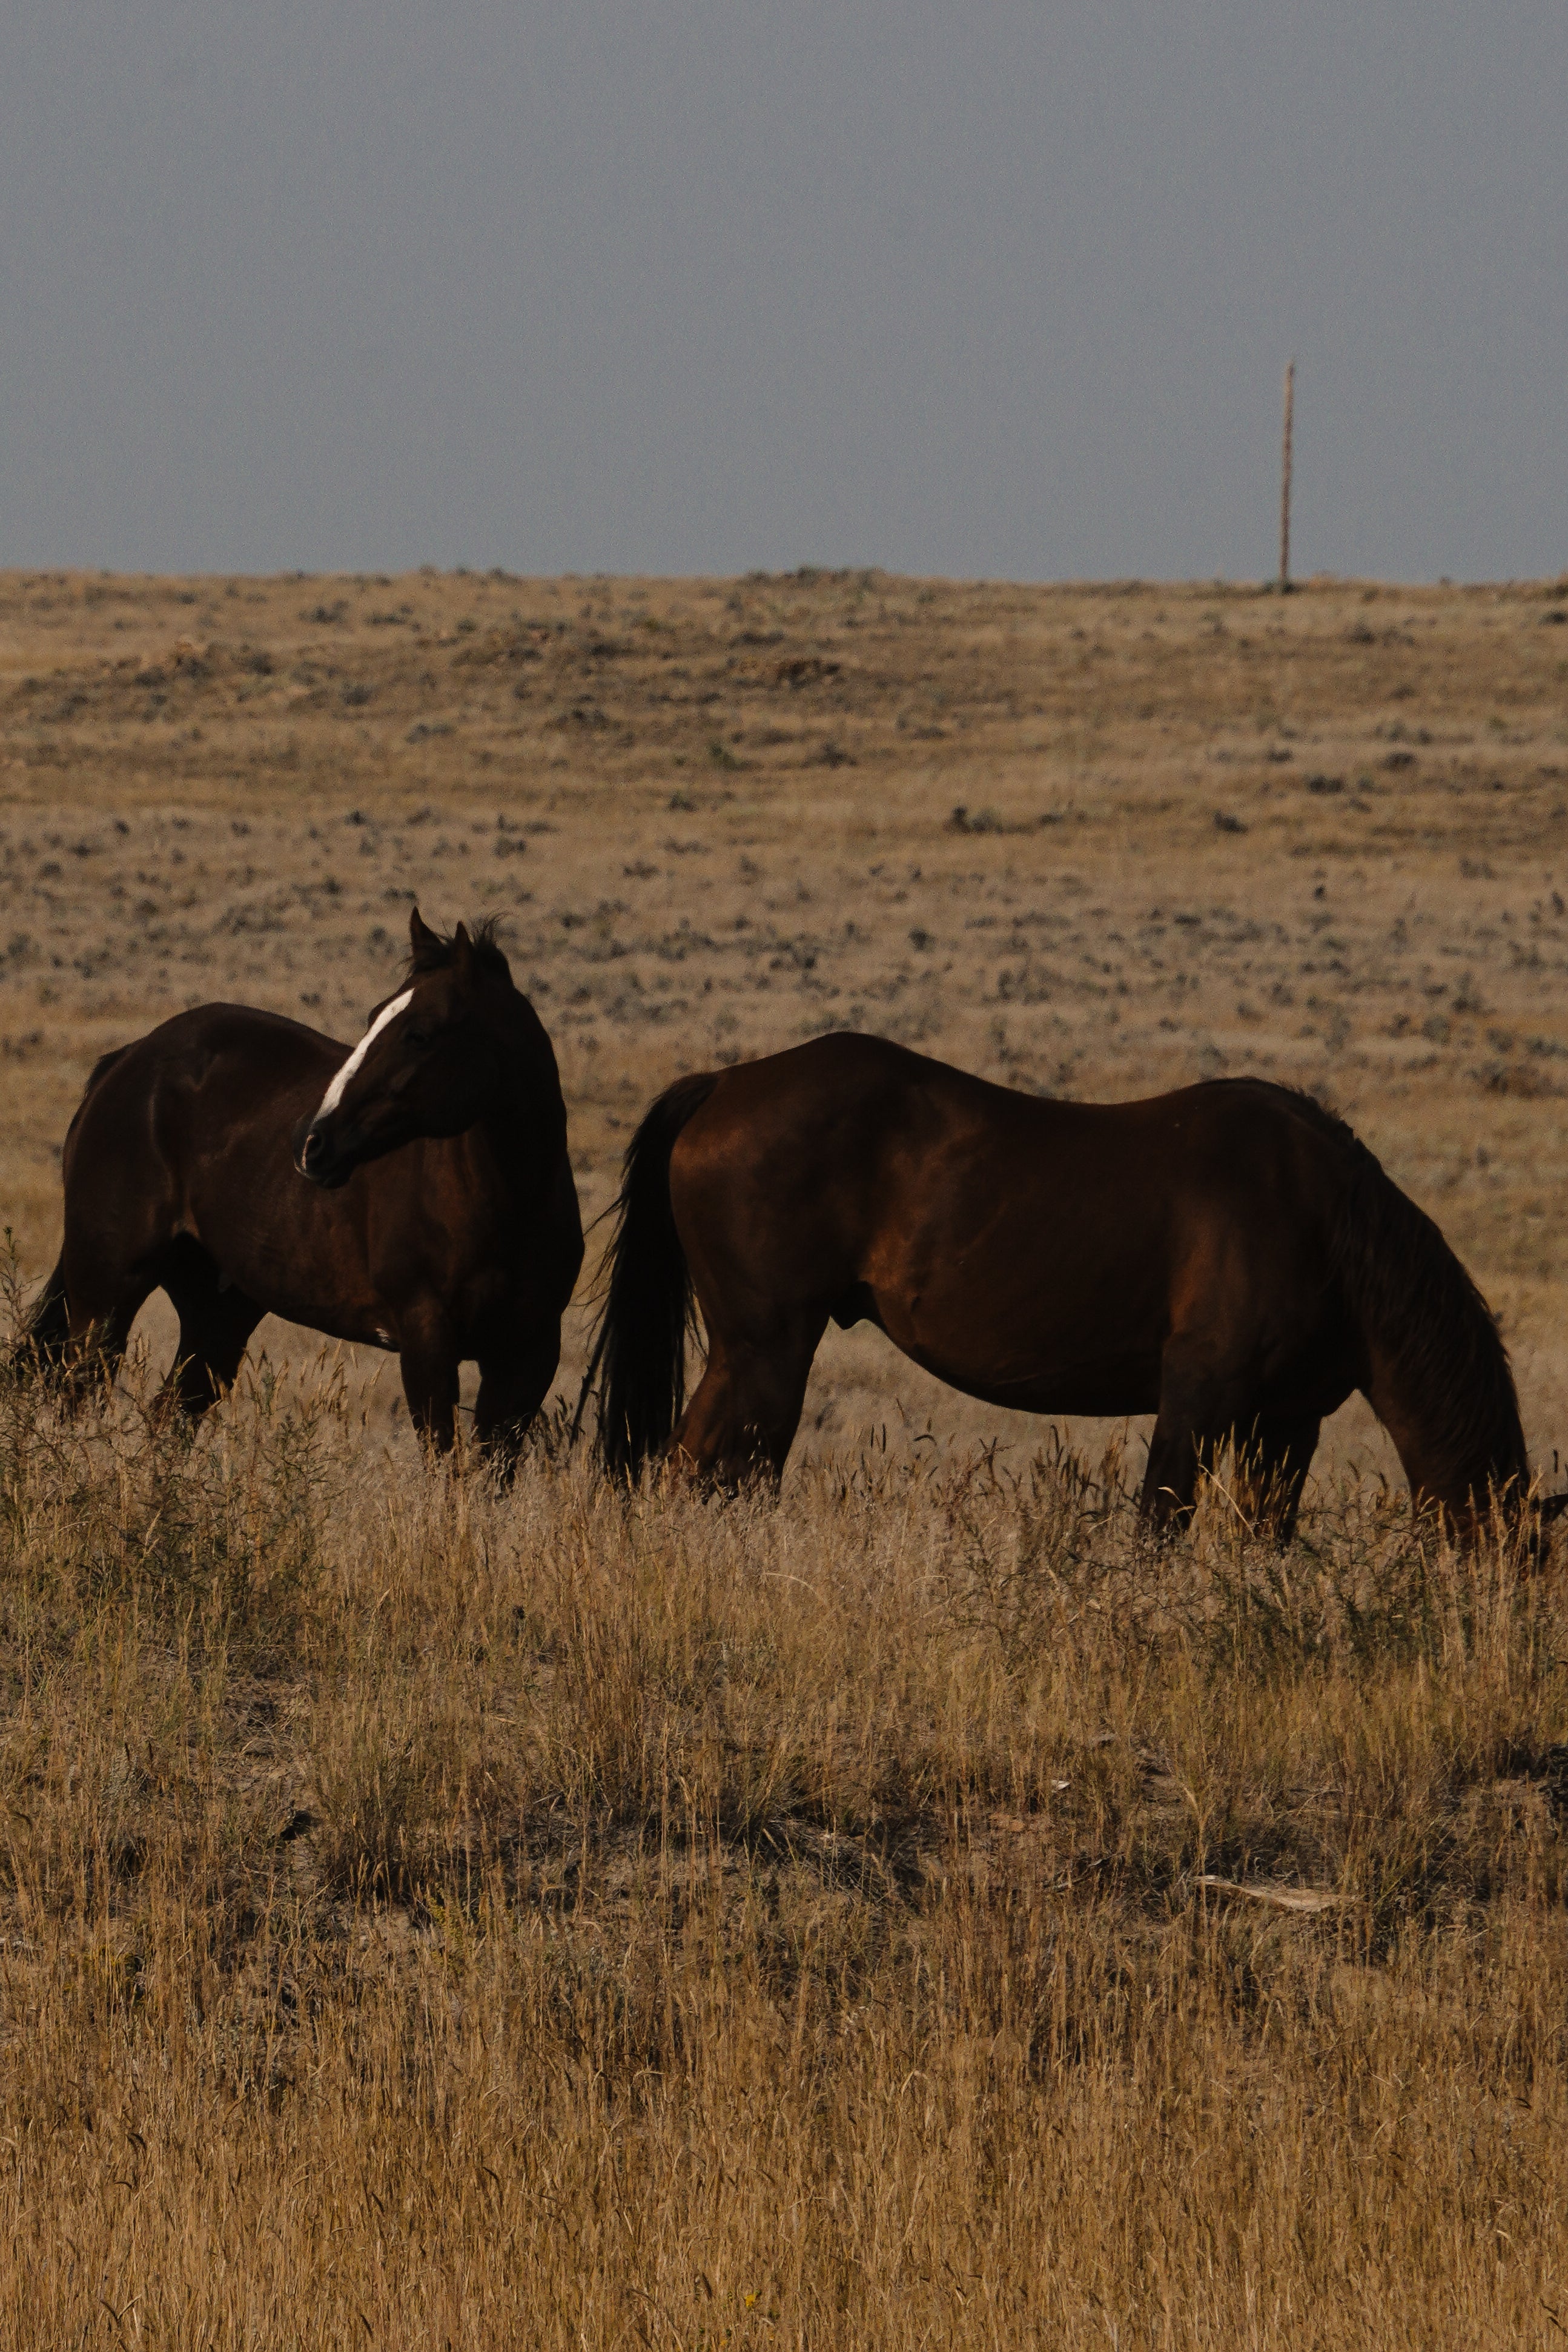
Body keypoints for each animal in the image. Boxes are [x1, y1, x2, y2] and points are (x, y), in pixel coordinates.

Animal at [22, 908, 583, 1462]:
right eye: (374, 1018)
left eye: (420, 1034)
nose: (313, 1144)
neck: (505, 1206)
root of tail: (127, 1061)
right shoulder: (427, 1341)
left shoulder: (526, 1358)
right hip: (105, 1297)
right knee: (77, 1398)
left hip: (217, 1315)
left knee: (167, 1417)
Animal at [578, 1032, 1538, 1541]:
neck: (1320, 1221)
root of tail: (721, 1086)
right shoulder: (1200, 1394)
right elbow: (1160, 1524)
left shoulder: (1287, 1420)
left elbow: (1261, 1533)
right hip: (761, 1350)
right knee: (694, 1470)